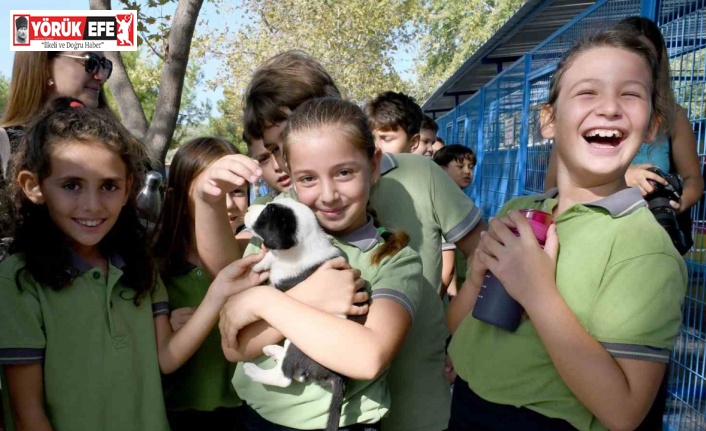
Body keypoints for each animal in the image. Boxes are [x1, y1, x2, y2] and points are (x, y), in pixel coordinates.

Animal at [243, 199, 360, 431]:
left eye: (265, 214)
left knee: (286, 377)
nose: (248, 208)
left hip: (300, 341)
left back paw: (253, 371)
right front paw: (260, 264)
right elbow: (270, 256)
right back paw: (274, 351)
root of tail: (340, 378)